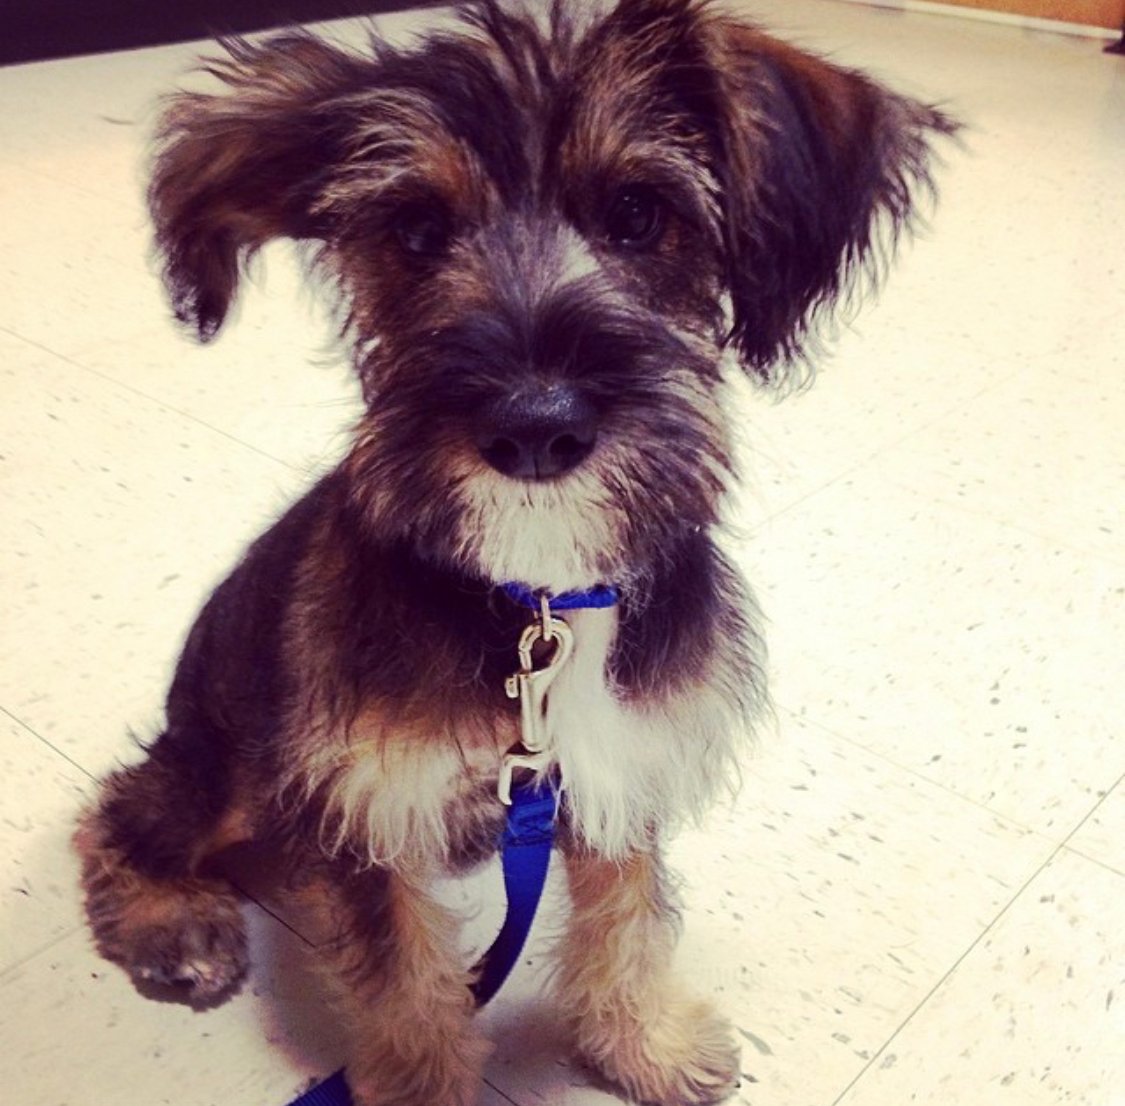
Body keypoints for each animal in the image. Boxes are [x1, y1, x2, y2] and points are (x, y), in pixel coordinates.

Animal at [74, 2, 954, 1106]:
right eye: (414, 229)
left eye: (638, 213)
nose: (535, 426)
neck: (536, 601)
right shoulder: (376, 807)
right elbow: (409, 989)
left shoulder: (613, 771)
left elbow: (629, 919)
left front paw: (644, 1044)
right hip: (232, 757)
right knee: (128, 806)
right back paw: (175, 922)